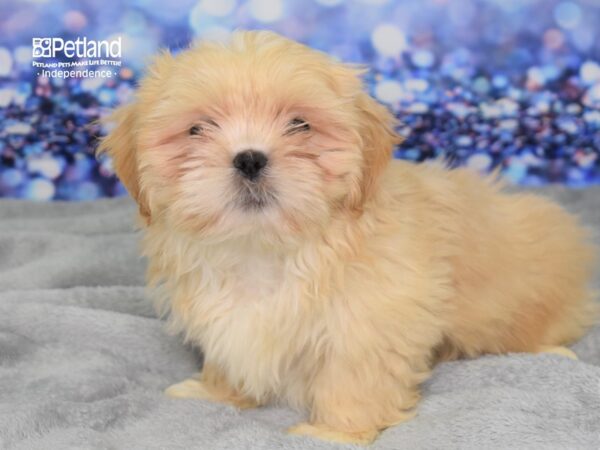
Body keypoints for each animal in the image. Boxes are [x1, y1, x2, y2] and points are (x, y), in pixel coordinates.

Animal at [98, 30, 596, 442]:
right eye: (197, 129)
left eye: (300, 124)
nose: (249, 158)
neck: (265, 248)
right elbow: (228, 354)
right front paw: (216, 392)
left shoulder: (373, 319)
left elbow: (354, 375)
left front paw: (335, 432)